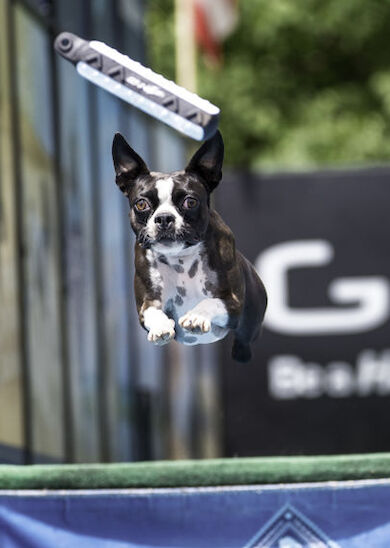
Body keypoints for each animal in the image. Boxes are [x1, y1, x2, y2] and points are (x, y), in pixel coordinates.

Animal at [111, 130, 266, 362]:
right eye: (141, 204)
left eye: (190, 202)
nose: (164, 218)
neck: (180, 259)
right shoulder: (147, 303)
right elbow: (152, 312)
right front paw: (161, 327)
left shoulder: (233, 302)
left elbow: (210, 302)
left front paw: (196, 316)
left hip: (248, 328)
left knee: (243, 344)